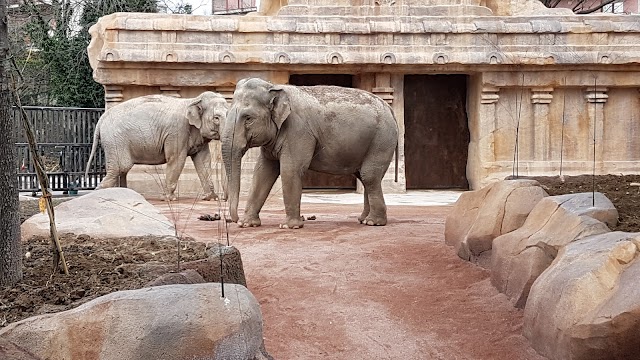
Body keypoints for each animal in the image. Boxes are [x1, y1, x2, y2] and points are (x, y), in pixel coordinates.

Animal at [85, 91, 228, 201]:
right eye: (216, 118)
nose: (223, 198)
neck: (193, 100)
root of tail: (101, 119)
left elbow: (203, 160)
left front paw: (211, 198)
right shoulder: (177, 131)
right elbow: (176, 159)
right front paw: (169, 199)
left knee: (121, 170)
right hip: (115, 141)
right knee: (120, 167)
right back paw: (99, 193)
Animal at [222, 77, 398, 229]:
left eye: (248, 118)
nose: (234, 220)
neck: (274, 86)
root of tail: (391, 109)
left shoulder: (298, 130)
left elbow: (290, 170)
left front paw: (289, 226)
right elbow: (262, 172)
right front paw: (247, 224)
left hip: (381, 141)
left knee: (369, 176)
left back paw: (373, 222)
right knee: (365, 177)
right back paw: (363, 220)